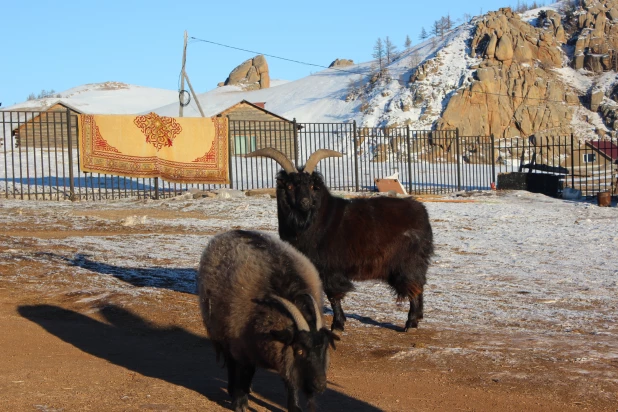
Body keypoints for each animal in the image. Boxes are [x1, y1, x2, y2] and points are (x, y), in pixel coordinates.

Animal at [196, 230, 336, 412]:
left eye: (324, 348)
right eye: (299, 350)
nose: (320, 386)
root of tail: (230, 231)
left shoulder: (281, 354)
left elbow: (290, 379)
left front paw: (294, 406)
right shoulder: (240, 345)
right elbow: (243, 370)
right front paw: (240, 403)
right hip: (222, 332)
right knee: (232, 363)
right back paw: (233, 389)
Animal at [247, 148, 434, 332]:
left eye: (312, 186)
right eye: (290, 186)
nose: (305, 202)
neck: (319, 220)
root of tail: (422, 212)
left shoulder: (330, 268)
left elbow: (333, 296)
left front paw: (337, 325)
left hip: (408, 263)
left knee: (414, 288)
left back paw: (410, 323)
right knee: (419, 286)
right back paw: (417, 318)